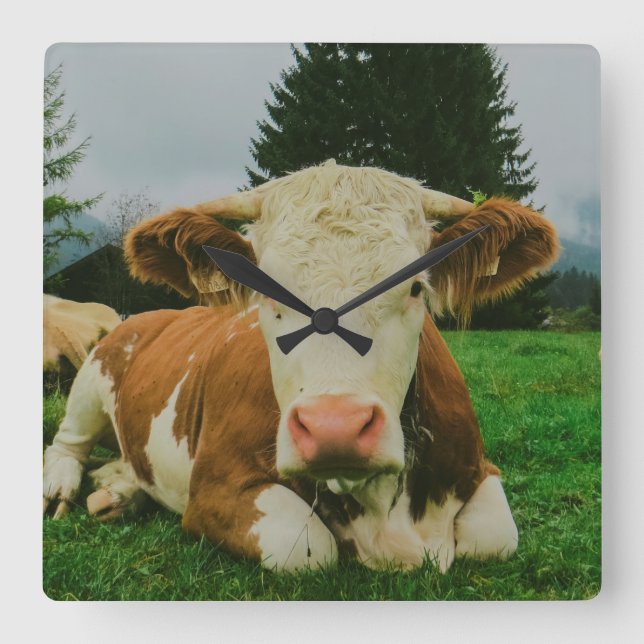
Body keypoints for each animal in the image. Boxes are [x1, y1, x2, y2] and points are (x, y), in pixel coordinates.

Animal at [43, 161, 559, 572]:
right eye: (263, 289)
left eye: (416, 287)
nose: (336, 427)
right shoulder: (213, 492)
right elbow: (304, 545)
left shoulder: (480, 469)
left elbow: (495, 537)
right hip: (92, 380)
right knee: (67, 445)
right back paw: (62, 488)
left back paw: (119, 490)